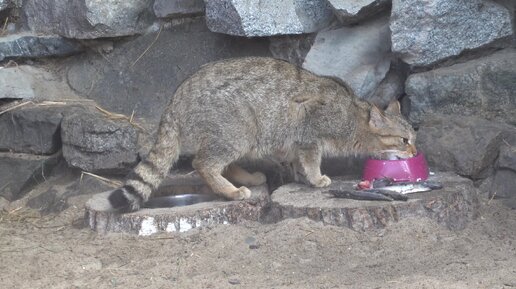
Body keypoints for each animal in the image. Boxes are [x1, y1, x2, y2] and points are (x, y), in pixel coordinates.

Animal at [108, 56, 416, 212]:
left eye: (414, 138)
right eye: (404, 140)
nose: (414, 151)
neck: (353, 114)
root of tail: (177, 96)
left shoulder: (295, 142)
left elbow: (297, 161)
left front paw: (301, 177)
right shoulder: (309, 131)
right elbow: (311, 159)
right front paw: (316, 178)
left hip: (240, 136)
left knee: (225, 163)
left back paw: (247, 178)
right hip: (238, 129)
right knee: (203, 164)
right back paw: (232, 191)